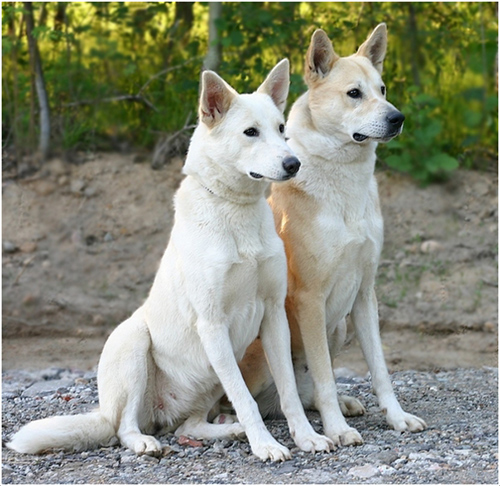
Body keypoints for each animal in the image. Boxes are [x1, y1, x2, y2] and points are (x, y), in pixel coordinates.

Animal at [6, 58, 332, 462]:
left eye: (281, 129)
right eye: (250, 132)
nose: (293, 164)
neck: (236, 212)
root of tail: (158, 414)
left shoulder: (273, 316)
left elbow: (288, 392)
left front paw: (306, 438)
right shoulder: (212, 324)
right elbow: (246, 399)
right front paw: (266, 445)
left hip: (211, 375)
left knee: (187, 427)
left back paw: (230, 429)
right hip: (134, 342)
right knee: (124, 427)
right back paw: (146, 442)